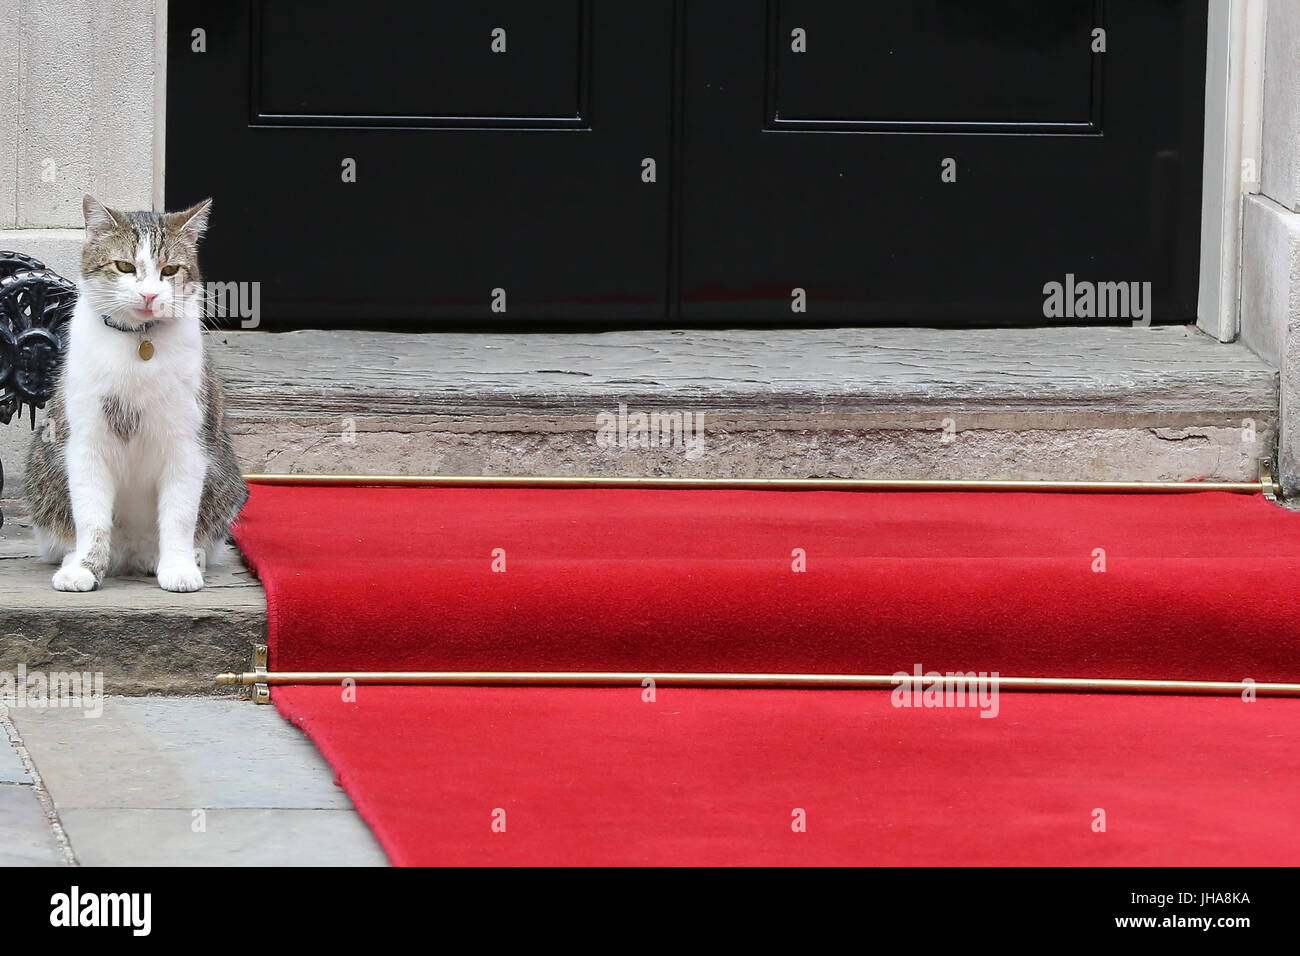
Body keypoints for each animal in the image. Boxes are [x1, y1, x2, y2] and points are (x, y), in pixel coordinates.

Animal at [26, 196, 245, 590]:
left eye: (170, 269)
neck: (137, 342)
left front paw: (178, 567)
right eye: (125, 266)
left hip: (227, 480)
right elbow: (92, 518)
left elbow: (179, 516)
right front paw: (84, 567)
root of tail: (129, 555)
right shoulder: (86, 442)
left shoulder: (188, 444)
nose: (149, 294)